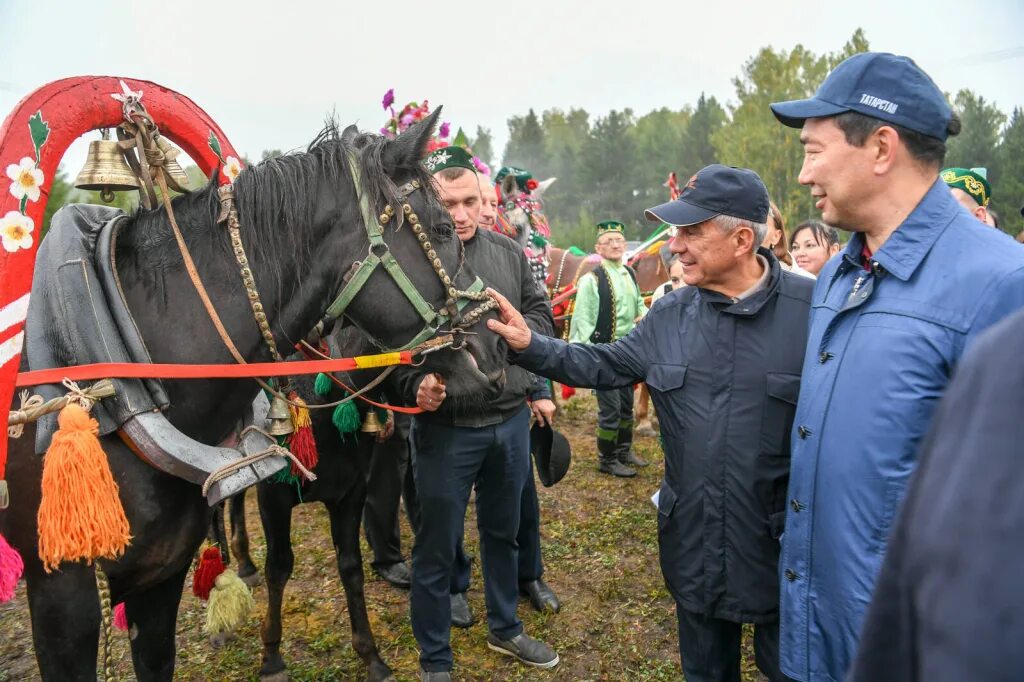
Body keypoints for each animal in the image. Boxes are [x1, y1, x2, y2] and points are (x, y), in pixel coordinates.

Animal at [1, 111, 507, 679]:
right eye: (443, 229)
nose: (495, 352)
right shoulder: (64, 599)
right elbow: (279, 566)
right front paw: (272, 655)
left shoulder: (167, 575)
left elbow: (350, 566)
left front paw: (370, 653)